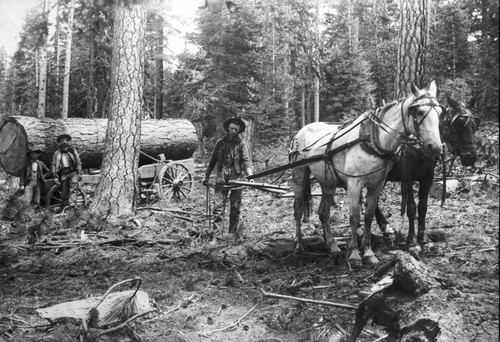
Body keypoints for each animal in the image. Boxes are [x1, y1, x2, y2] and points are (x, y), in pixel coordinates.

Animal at [290, 81, 442, 264]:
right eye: (419, 112)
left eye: (440, 113)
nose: (436, 147)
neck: (373, 140)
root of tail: (301, 131)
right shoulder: (356, 183)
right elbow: (355, 217)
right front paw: (355, 254)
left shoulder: (378, 184)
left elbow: (369, 215)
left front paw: (368, 252)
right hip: (299, 174)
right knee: (298, 209)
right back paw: (299, 245)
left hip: (327, 183)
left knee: (323, 213)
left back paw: (333, 246)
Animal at [376, 93, 480, 248]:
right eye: (457, 124)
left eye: (474, 125)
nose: (470, 157)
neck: (420, 147)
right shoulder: (407, 178)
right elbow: (411, 208)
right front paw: (411, 240)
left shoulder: (427, 178)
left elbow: (423, 207)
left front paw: (423, 237)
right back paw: (386, 229)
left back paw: (386, 229)